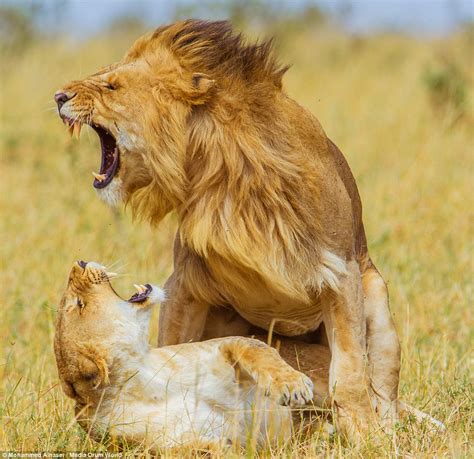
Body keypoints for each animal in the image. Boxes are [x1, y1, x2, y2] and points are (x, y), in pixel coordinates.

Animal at [56, 19, 404, 436]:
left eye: (112, 87)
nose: (58, 96)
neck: (229, 177)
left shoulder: (342, 274)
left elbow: (350, 374)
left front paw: (367, 437)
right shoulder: (185, 284)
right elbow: (174, 346)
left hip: (377, 301)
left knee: (383, 390)